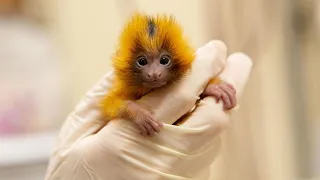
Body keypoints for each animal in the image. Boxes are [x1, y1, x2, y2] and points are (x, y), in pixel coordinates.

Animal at [101, 13, 236, 136]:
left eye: (164, 60)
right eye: (142, 61)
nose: (154, 74)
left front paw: (213, 87)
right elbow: (109, 104)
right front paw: (139, 113)